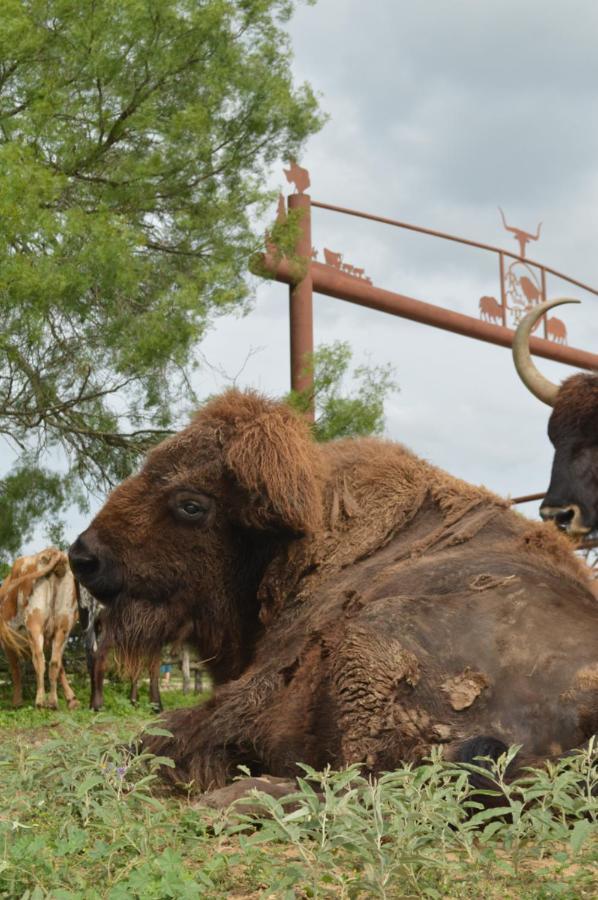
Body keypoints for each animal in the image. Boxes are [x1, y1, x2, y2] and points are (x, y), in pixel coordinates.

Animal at [0, 548, 79, 712]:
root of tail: (52, 551)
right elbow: (60, 666)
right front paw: (71, 699)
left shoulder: (7, 642)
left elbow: (15, 670)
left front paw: (17, 702)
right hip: (63, 625)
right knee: (55, 662)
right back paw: (53, 701)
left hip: (34, 623)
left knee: (39, 660)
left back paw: (40, 701)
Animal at [68, 390, 598, 792]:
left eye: (191, 505)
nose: (84, 557)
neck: (296, 538)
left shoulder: (250, 694)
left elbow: (154, 738)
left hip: (371, 643)